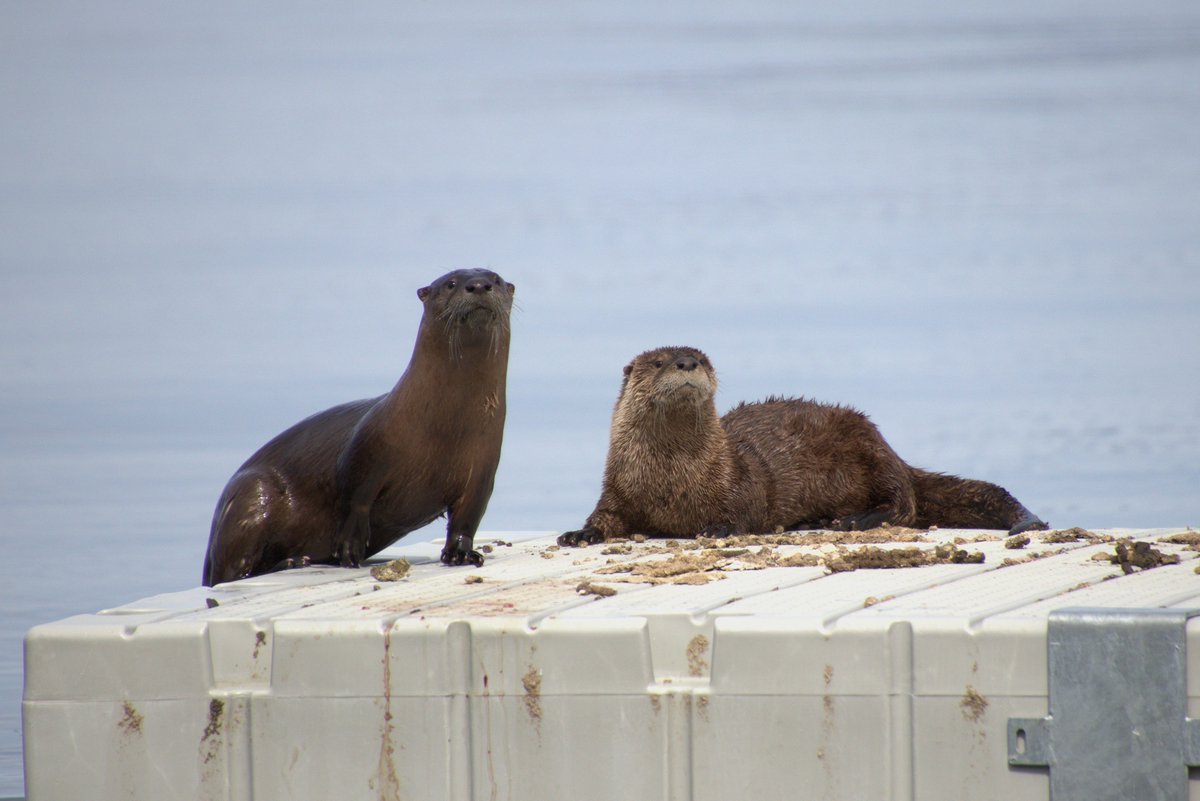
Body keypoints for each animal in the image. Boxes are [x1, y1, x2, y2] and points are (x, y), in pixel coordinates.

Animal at [203, 268, 514, 586]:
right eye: (451, 283)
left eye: (496, 279)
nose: (478, 285)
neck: (446, 427)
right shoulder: (367, 448)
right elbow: (355, 499)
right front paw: (349, 551)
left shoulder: (483, 468)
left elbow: (468, 517)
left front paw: (462, 554)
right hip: (251, 495)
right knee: (231, 571)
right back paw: (293, 561)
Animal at [558, 346, 1045, 546]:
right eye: (658, 362)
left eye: (703, 357)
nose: (687, 362)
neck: (671, 482)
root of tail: (897, 456)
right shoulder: (617, 486)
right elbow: (605, 516)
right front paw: (580, 533)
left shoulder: (739, 475)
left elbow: (748, 506)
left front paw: (718, 527)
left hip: (869, 445)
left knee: (903, 503)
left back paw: (852, 520)